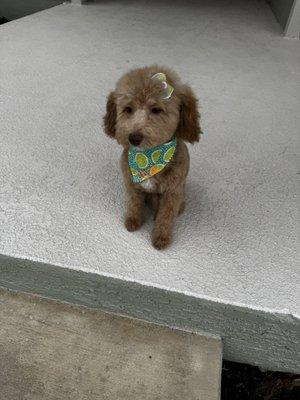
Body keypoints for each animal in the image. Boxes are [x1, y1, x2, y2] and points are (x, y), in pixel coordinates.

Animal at [103, 65, 202, 247]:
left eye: (156, 110)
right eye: (128, 109)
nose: (134, 138)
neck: (149, 157)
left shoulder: (172, 193)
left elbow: (165, 216)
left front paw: (160, 238)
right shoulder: (131, 185)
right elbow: (133, 204)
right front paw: (132, 221)